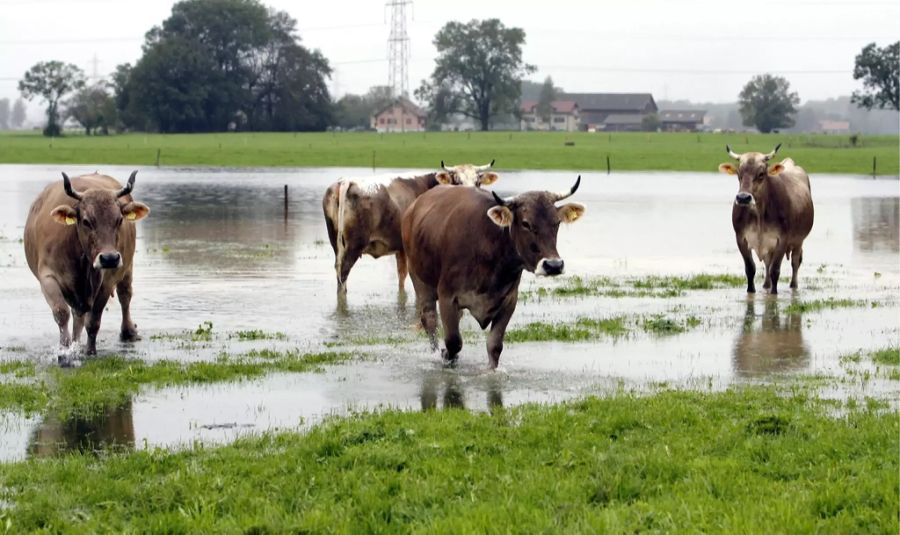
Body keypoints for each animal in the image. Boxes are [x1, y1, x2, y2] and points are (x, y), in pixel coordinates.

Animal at [23, 172, 151, 358]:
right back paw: (75, 342)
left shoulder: (106, 283)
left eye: (119, 220)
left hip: (127, 267)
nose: (109, 258)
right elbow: (61, 313)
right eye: (86, 221)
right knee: (77, 316)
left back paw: (127, 332)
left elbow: (93, 321)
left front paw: (90, 351)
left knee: (125, 296)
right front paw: (65, 348)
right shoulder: (48, 277)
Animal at [322, 160, 500, 294]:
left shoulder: (401, 249)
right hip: (353, 247)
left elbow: (402, 278)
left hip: (337, 245)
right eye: (457, 181)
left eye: (477, 182)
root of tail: (347, 181)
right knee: (343, 275)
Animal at [400, 176, 584, 368]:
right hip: (420, 280)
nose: (554, 265)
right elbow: (453, 342)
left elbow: (494, 346)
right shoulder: (447, 297)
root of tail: (413, 207)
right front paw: (445, 355)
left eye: (557, 222)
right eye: (526, 223)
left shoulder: (508, 302)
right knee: (429, 319)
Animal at [716, 144, 816, 296]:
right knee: (768, 263)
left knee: (795, 262)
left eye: (761, 174)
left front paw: (774, 293)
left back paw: (793, 285)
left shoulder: (782, 240)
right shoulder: (741, 239)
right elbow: (750, 268)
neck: (759, 216)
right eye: (739, 173)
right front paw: (751, 291)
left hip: (798, 241)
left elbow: (775, 270)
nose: (743, 198)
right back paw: (766, 285)